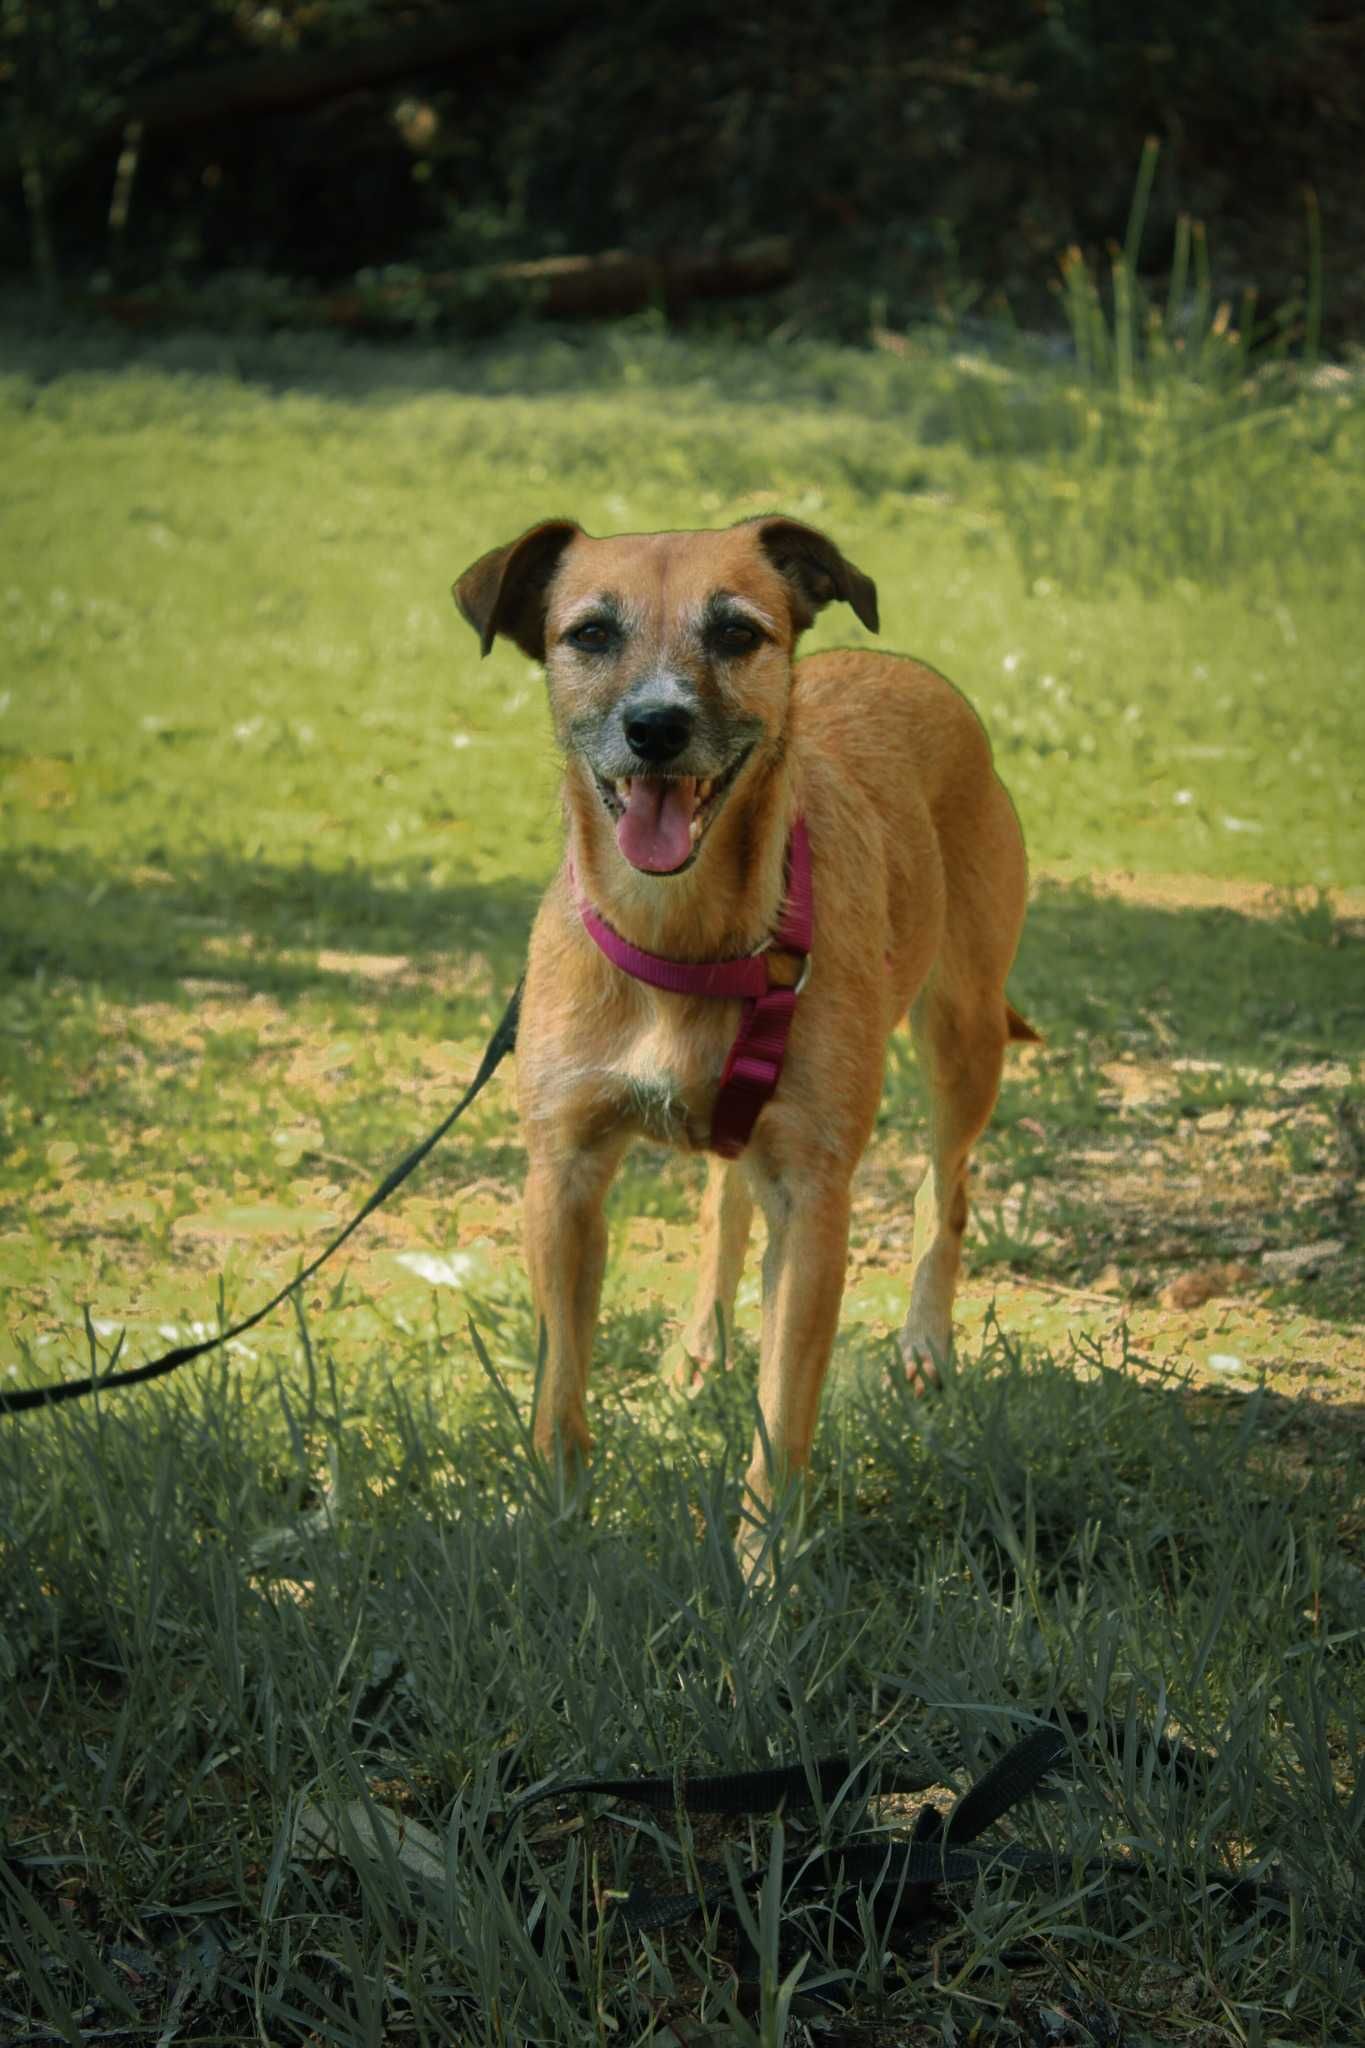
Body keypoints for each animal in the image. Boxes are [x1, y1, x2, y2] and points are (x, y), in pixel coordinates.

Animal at [454, 520, 1031, 1556]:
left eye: (735, 632)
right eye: (590, 633)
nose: (656, 726)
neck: (681, 940)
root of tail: (900, 667)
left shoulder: (813, 1201)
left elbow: (783, 1421)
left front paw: (765, 1572)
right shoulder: (562, 1179)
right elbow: (558, 1393)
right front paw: (555, 1536)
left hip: (963, 1032)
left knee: (947, 1194)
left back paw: (925, 1344)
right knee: (724, 1201)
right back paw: (701, 1343)